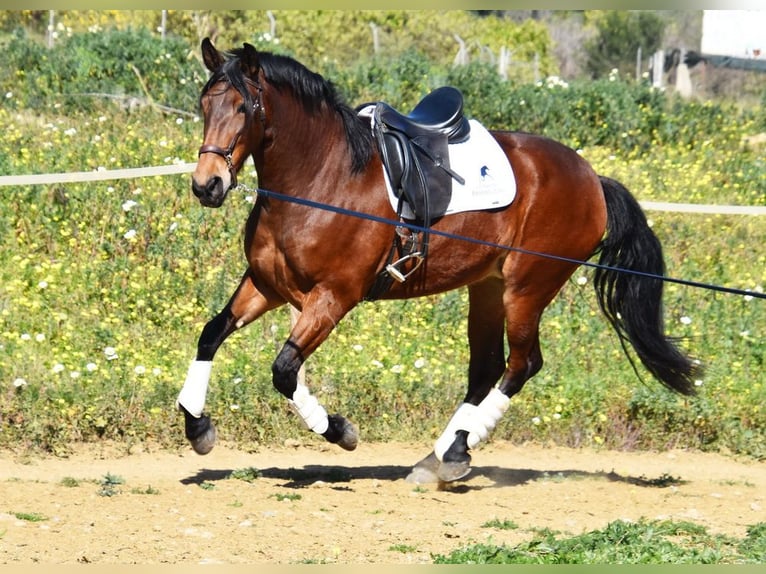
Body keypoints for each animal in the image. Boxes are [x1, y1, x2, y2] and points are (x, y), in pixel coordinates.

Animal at [178, 38, 704, 484]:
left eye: (243, 108)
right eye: (204, 105)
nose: (207, 186)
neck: (321, 180)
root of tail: (593, 178)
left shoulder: (333, 297)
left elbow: (285, 369)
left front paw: (341, 432)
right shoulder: (266, 285)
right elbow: (212, 334)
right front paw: (197, 427)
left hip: (528, 287)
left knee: (521, 365)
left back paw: (452, 454)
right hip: (488, 287)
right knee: (485, 369)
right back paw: (442, 456)